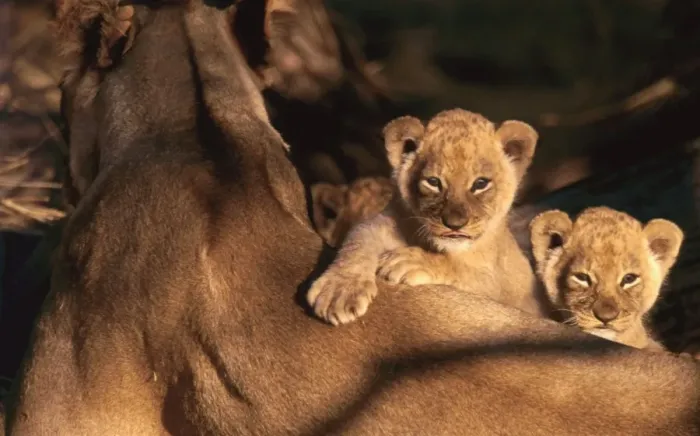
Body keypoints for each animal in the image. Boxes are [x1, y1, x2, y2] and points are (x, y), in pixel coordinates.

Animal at [307, 109, 545, 325]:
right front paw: (339, 290)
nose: (455, 224)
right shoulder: (384, 222)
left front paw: (411, 261)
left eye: (480, 184)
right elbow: (359, 238)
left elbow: (472, 274)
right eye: (433, 182)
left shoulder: (515, 291)